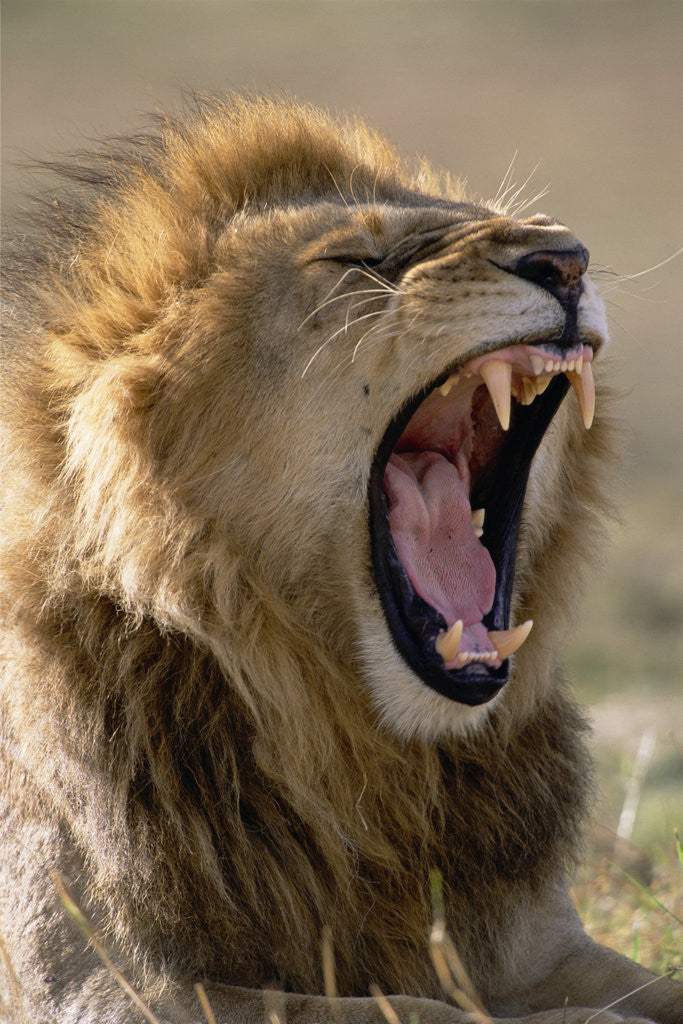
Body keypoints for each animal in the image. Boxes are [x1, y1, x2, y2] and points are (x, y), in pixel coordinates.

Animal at [0, 95, 680, 1024]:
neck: (354, 744)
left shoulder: (541, 945)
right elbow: (405, 1009)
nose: (566, 259)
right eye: (359, 261)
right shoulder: (113, 985)